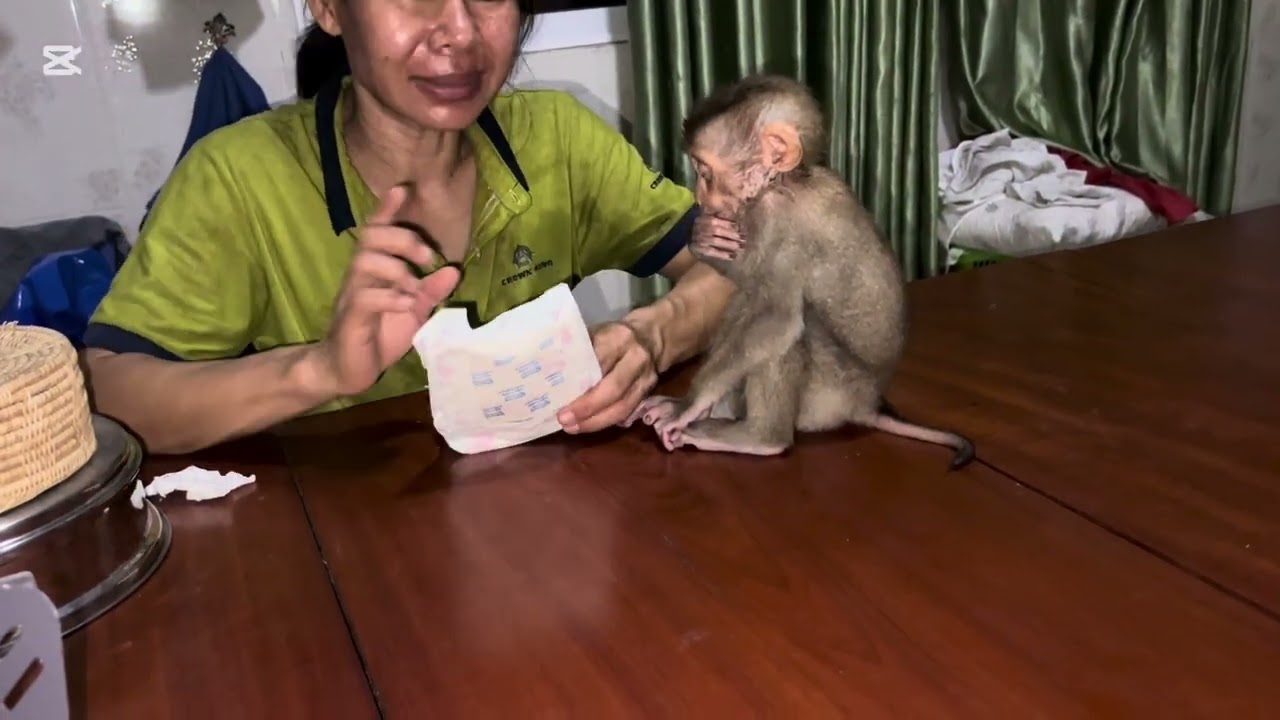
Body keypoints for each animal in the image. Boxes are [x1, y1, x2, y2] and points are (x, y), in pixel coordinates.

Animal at [623, 74, 975, 470]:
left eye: (705, 172)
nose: (700, 196)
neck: (787, 181)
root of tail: (867, 404)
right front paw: (704, 239)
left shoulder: (779, 219)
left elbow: (778, 318)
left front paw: (688, 404)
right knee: (749, 300)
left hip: (830, 396)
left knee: (790, 330)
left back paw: (761, 438)